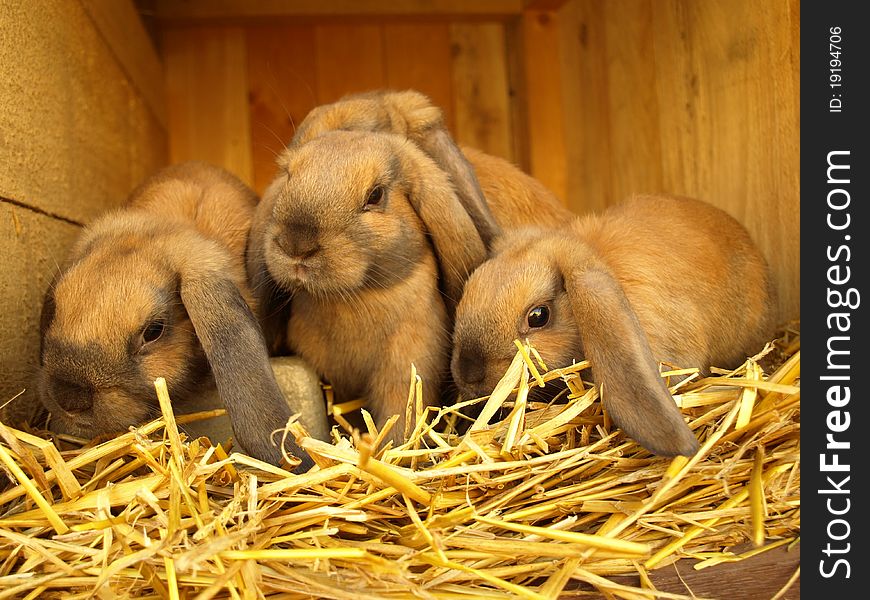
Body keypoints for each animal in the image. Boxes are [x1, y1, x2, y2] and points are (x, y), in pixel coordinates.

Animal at [249, 90, 576, 446]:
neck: (355, 297)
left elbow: (399, 420)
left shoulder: (408, 367)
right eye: (289, 174)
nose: (296, 245)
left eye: (375, 195)